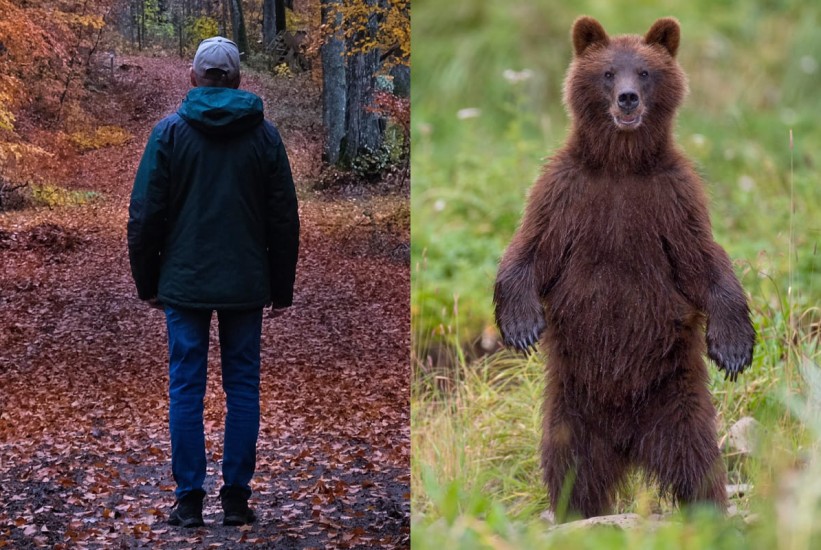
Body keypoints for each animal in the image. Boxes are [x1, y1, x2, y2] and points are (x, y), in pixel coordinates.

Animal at [494, 15, 756, 520]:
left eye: (646, 72)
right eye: (609, 72)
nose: (628, 98)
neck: (620, 164)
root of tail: (629, 445)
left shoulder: (671, 201)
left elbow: (705, 264)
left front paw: (733, 346)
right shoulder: (566, 195)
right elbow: (530, 250)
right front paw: (521, 325)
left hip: (677, 399)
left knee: (698, 463)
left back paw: (708, 510)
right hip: (571, 409)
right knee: (572, 469)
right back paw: (575, 513)